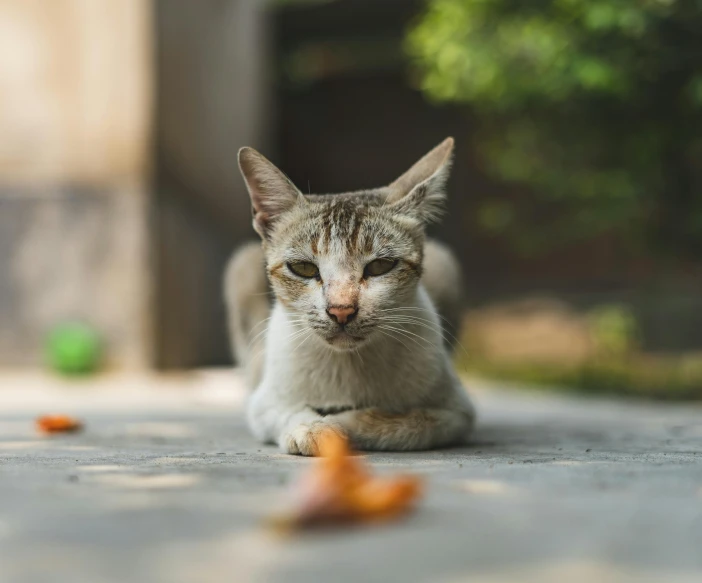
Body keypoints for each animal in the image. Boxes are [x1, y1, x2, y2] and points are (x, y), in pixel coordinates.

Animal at [226, 138, 478, 456]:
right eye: (304, 268)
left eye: (381, 266)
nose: (341, 310)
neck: (348, 365)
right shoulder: (263, 402)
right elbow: (286, 411)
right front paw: (313, 428)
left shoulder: (457, 413)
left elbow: (406, 423)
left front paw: (341, 423)